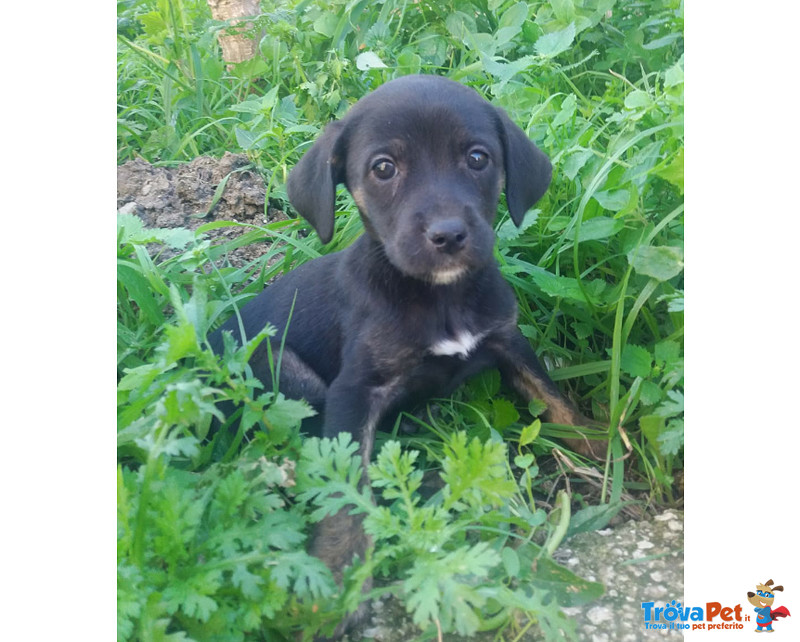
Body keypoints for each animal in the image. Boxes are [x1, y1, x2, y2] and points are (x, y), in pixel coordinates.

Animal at [212, 75, 600, 632]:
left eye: (478, 158)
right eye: (383, 168)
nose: (448, 235)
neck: (440, 297)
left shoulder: (508, 338)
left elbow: (554, 397)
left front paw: (601, 447)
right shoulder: (354, 392)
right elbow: (345, 487)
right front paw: (342, 580)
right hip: (281, 370)